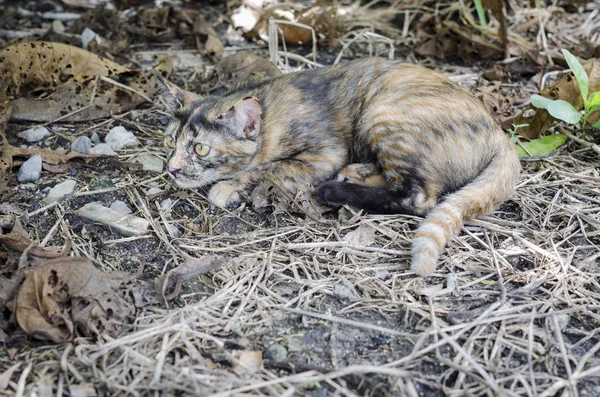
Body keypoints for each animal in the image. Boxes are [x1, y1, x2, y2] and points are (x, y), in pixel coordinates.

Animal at [158, 58, 520, 276]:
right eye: (170, 141)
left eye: (200, 148)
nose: (171, 169)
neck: (269, 109)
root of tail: (497, 131)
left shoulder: (325, 152)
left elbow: (270, 167)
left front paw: (229, 186)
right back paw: (355, 173)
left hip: (382, 113)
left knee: (418, 196)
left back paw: (334, 190)